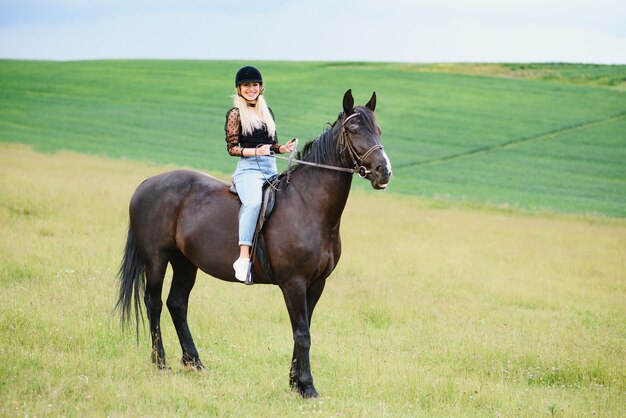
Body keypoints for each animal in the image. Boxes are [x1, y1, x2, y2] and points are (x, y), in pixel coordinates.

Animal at [116, 90, 390, 396]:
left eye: (378, 130)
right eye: (353, 130)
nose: (384, 171)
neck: (307, 204)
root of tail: (147, 183)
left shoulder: (317, 283)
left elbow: (303, 330)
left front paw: (295, 383)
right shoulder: (293, 283)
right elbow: (302, 333)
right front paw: (307, 388)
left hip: (185, 263)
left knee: (177, 304)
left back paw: (194, 363)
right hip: (156, 259)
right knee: (153, 303)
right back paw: (161, 363)